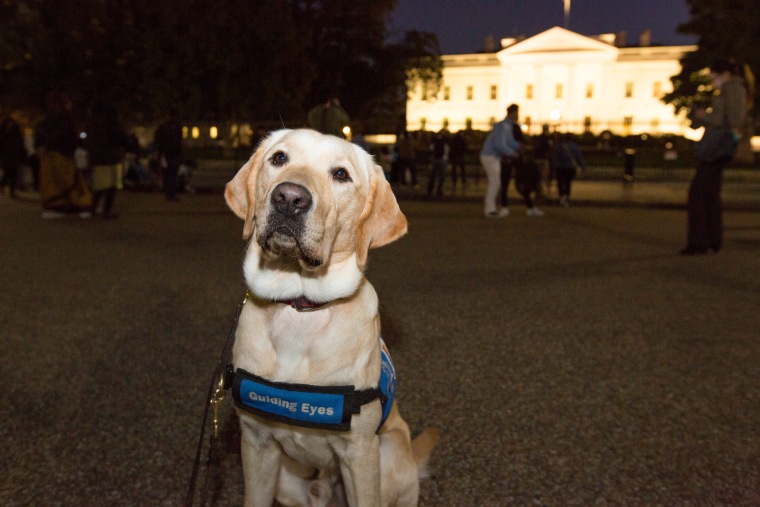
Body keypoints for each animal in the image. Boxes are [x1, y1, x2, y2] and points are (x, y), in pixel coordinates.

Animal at [226, 129, 436, 506]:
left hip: (388, 452)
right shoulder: (256, 444)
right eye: (278, 158)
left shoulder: (360, 454)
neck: (299, 305)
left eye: (341, 174)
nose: (289, 198)